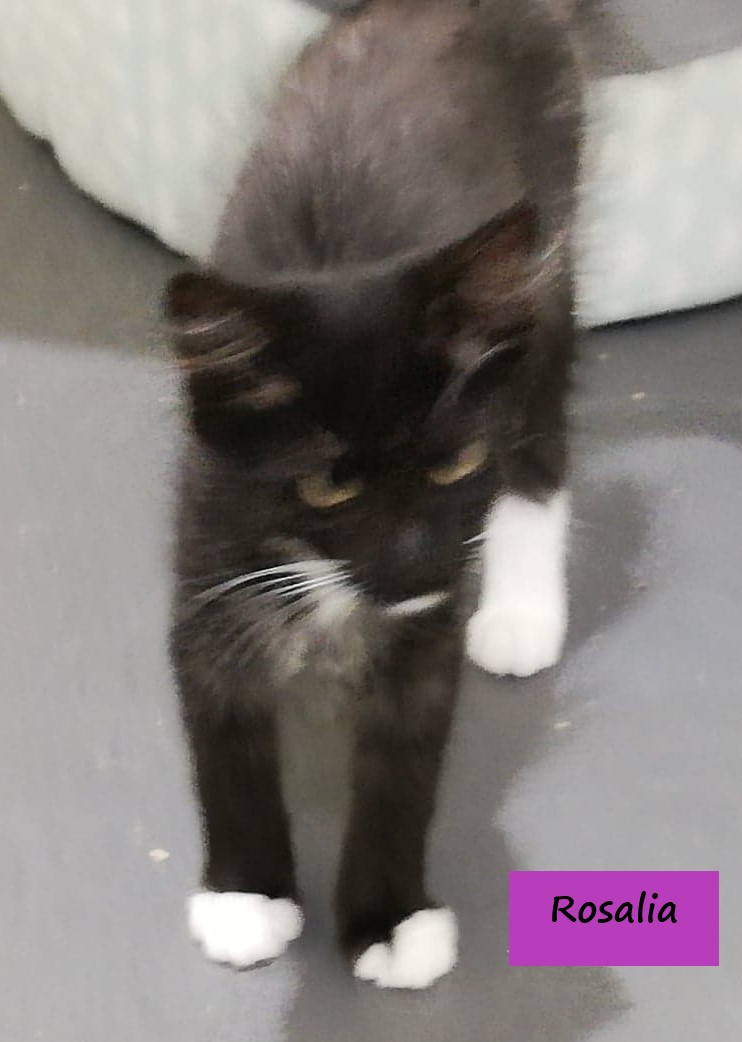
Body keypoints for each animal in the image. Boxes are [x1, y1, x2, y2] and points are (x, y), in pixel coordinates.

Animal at [166, 0, 583, 990]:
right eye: (325, 483)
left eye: (454, 465)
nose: (419, 564)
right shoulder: (207, 549)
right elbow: (222, 739)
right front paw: (245, 895)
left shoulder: (424, 636)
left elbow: (404, 767)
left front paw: (389, 919)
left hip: (544, 270)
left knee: (542, 432)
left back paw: (522, 611)